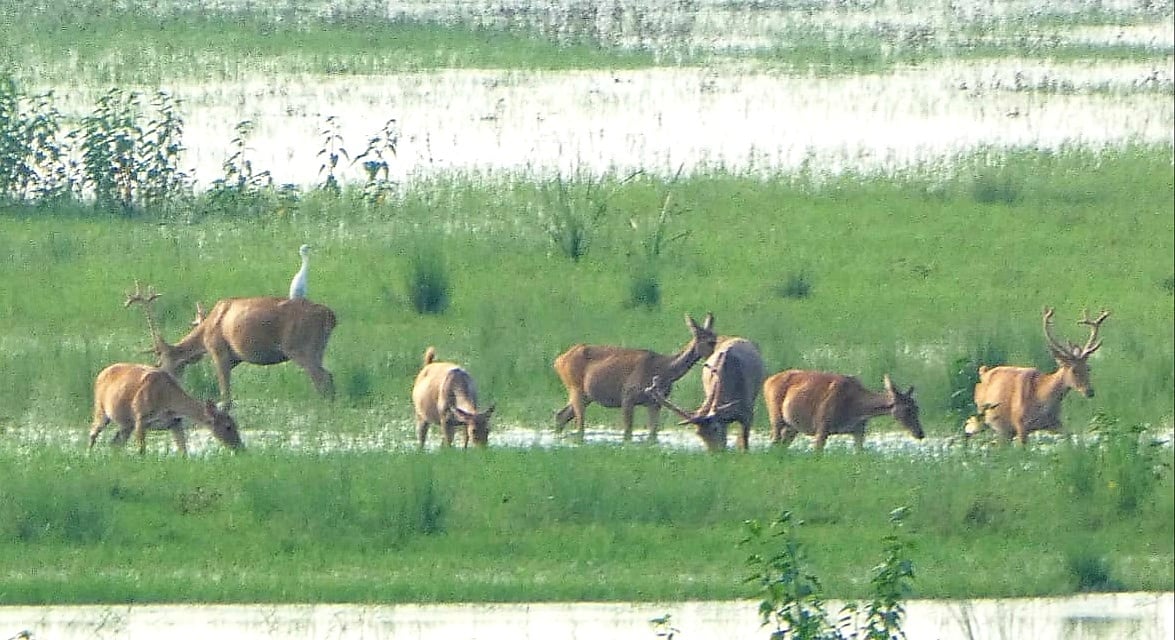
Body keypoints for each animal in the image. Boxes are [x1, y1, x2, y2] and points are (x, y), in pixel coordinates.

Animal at [89, 362, 243, 455]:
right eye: (228, 426)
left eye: (236, 424)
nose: (241, 448)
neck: (167, 400)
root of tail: (100, 374)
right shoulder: (140, 417)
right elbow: (142, 450)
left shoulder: (175, 422)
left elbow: (183, 451)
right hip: (101, 409)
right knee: (93, 434)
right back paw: (88, 456)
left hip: (126, 424)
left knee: (115, 443)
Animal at [125, 281, 337, 409]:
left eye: (159, 362)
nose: (162, 380)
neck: (206, 330)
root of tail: (330, 315)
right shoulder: (235, 358)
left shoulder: (218, 349)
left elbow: (225, 392)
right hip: (318, 347)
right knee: (327, 375)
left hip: (300, 346)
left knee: (322, 377)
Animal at [553, 312, 717, 442]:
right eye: (710, 341)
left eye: (716, 337)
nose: (717, 356)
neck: (665, 370)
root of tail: (558, 361)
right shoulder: (627, 396)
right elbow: (628, 433)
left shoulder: (654, 403)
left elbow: (653, 433)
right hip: (575, 387)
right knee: (578, 425)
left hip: (587, 395)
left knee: (561, 415)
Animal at [763, 370, 924, 452]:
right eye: (907, 409)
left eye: (917, 408)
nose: (920, 434)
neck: (856, 409)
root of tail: (767, 381)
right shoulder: (822, 425)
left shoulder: (859, 430)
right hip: (775, 416)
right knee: (774, 442)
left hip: (792, 426)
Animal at [965, 307, 1111, 444]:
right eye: (1073, 370)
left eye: (1088, 368)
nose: (1090, 391)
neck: (1041, 397)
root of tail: (983, 371)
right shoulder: (1020, 424)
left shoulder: (1055, 423)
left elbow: (1068, 437)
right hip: (987, 420)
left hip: (1005, 431)